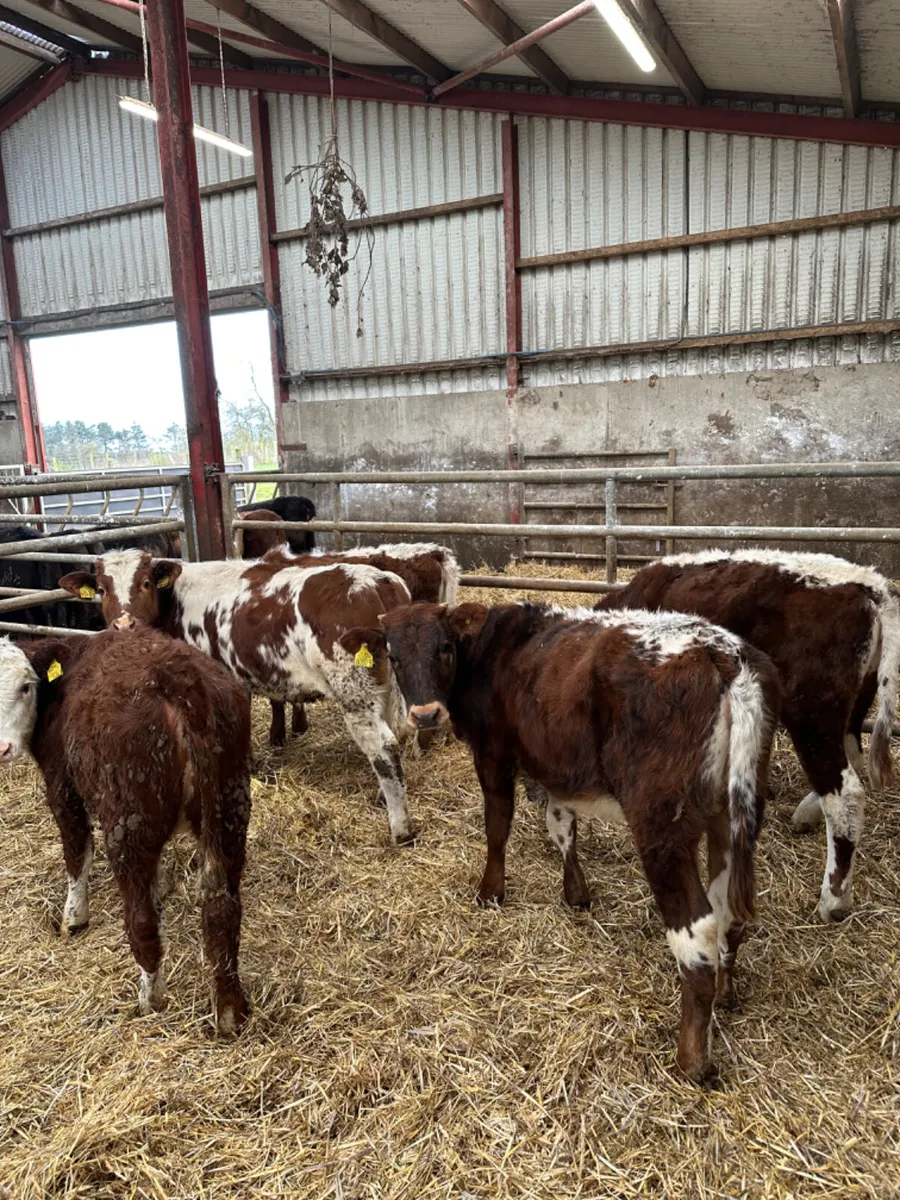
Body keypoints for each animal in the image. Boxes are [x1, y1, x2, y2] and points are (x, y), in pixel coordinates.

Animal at [0, 627, 252, 1033]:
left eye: (25, 687)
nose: (2, 748)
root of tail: (178, 678)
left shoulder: (61, 785)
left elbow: (77, 852)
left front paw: (74, 917)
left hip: (127, 826)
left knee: (142, 921)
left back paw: (150, 1000)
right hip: (230, 810)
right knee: (223, 912)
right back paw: (230, 1012)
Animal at [58, 550, 416, 844]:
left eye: (145, 583)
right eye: (101, 590)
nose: (124, 625)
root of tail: (377, 581)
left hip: (354, 693)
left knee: (383, 748)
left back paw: (401, 828)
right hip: (387, 690)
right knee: (397, 734)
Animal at [373, 601, 779, 1082]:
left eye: (444, 647)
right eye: (393, 656)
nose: (425, 715)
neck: (494, 646)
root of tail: (723, 654)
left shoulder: (492, 754)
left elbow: (498, 826)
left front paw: (491, 891)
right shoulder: (555, 766)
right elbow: (562, 825)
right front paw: (575, 893)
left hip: (662, 826)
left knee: (697, 934)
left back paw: (691, 1060)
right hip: (734, 815)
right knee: (730, 914)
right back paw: (724, 995)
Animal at [596, 549, 900, 923]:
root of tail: (871, 585)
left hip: (812, 712)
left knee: (846, 794)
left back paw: (834, 899)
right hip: (854, 703)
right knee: (850, 755)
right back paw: (807, 814)